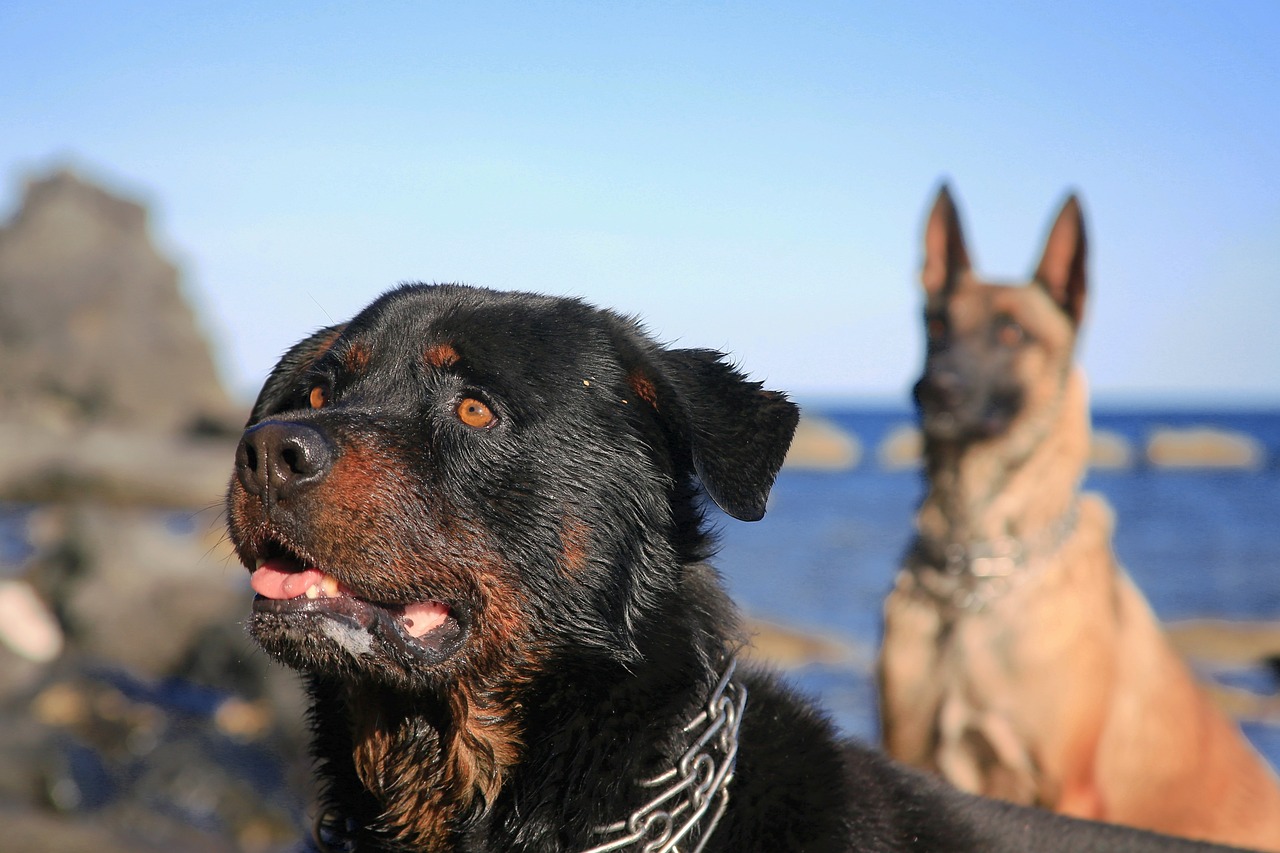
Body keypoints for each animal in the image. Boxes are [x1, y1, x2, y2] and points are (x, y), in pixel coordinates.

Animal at [875, 184, 1280, 845]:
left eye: (1013, 332)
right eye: (936, 324)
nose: (933, 390)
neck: (976, 572)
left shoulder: (1069, 789)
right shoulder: (910, 754)